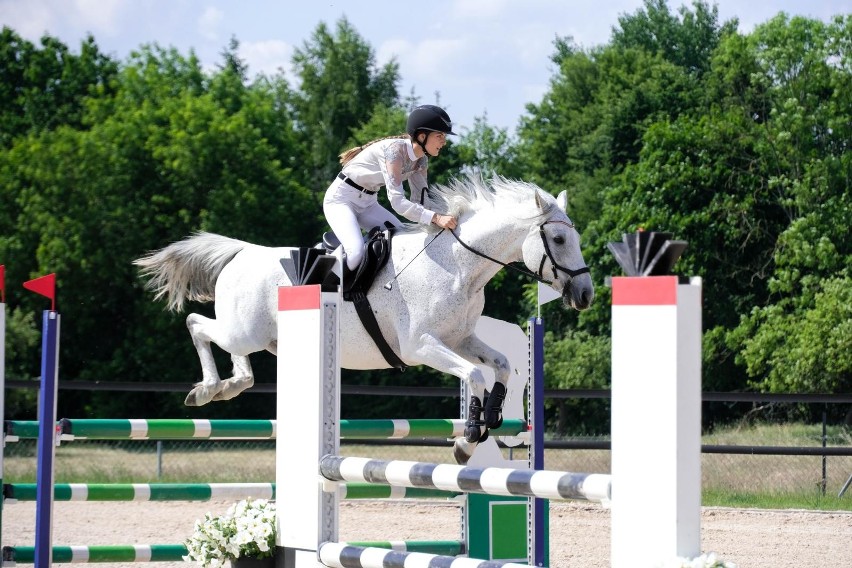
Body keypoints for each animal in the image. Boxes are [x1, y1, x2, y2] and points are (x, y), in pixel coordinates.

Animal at [136, 175, 596, 464]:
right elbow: (476, 375)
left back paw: (230, 384)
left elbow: (500, 365)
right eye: (558, 239)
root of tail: (242, 252)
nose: (586, 295)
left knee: (239, 360)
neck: (458, 264)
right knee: (197, 324)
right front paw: (468, 439)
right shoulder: (422, 346)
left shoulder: (460, 340)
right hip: (241, 329)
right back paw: (207, 389)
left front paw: (491, 419)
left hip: (257, 336)